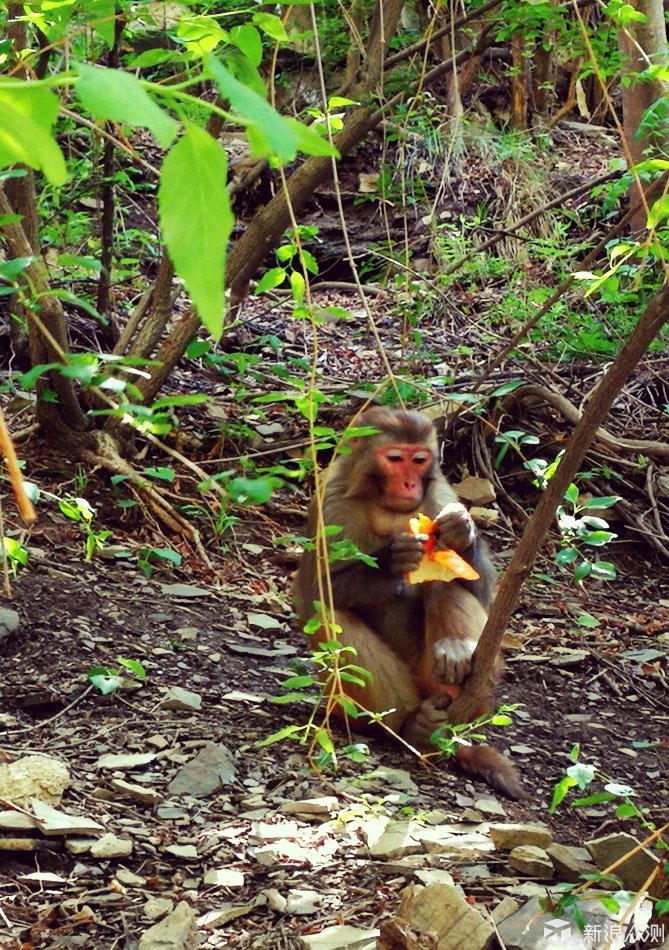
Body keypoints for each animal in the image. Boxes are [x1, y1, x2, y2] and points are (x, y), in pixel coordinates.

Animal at [292, 406, 528, 800]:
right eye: (395, 459)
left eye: (419, 460)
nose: (409, 485)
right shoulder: (329, 501)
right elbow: (316, 591)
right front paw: (392, 558)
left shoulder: (442, 495)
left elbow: (483, 593)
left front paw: (462, 532)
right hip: (349, 706)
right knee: (334, 616)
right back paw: (410, 726)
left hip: (435, 678)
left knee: (443, 586)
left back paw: (456, 658)